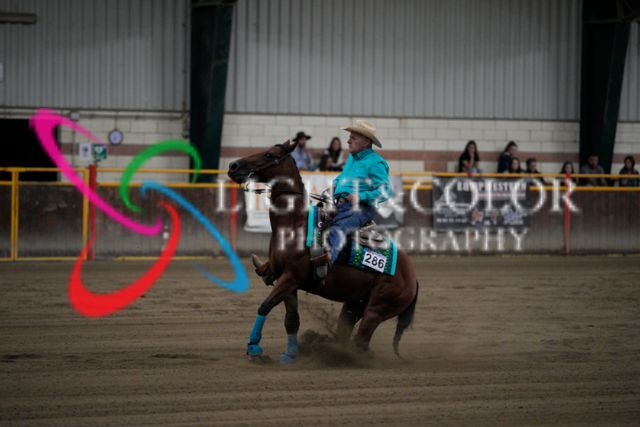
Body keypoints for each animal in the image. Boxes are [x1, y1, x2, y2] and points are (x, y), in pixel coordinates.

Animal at [228, 140, 419, 363]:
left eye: (269, 155)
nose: (233, 166)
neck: (294, 224)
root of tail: (412, 277)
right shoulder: (289, 282)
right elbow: (291, 319)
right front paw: (289, 354)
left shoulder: (291, 277)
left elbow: (265, 306)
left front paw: (254, 347)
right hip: (354, 304)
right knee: (346, 332)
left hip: (377, 309)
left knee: (361, 342)